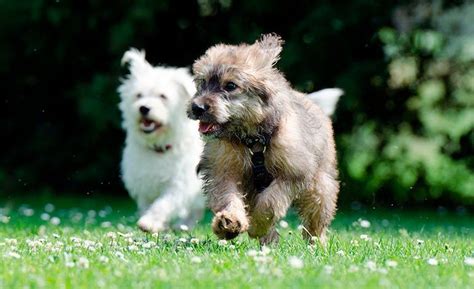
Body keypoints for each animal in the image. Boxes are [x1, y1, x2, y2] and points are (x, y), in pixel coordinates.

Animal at [118, 47, 204, 232]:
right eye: (138, 95)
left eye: (163, 96)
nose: (144, 108)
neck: (159, 146)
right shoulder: (144, 185)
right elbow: (147, 205)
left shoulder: (178, 185)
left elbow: (163, 204)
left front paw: (149, 222)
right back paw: (184, 226)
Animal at [187, 35, 338, 244]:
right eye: (203, 82)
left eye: (231, 86)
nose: (197, 107)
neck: (252, 140)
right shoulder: (224, 170)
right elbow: (228, 196)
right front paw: (230, 222)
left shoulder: (293, 173)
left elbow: (270, 202)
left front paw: (257, 225)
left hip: (320, 186)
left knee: (316, 218)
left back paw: (316, 243)